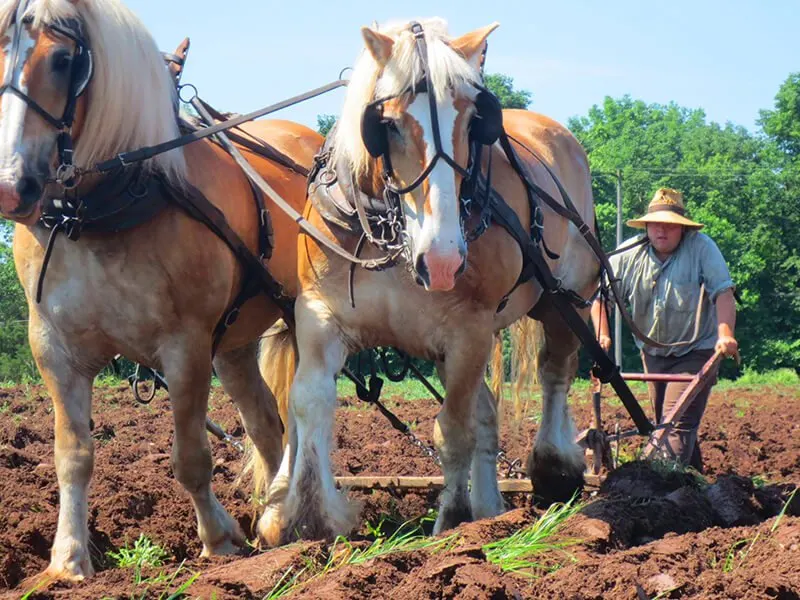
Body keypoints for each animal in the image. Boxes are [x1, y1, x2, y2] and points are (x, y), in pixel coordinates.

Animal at [0, 0, 318, 580]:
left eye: (63, 60)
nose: (12, 188)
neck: (94, 216)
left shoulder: (185, 344)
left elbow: (190, 457)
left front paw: (219, 540)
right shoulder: (53, 347)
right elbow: (72, 455)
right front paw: (67, 559)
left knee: (304, 415)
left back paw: (288, 512)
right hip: (236, 342)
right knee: (266, 422)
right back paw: (272, 518)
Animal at [260, 18, 604, 544]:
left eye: (473, 119)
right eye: (387, 124)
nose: (442, 261)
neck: (390, 240)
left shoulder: (468, 331)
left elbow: (454, 429)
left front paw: (455, 521)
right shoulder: (318, 314)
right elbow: (308, 403)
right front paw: (305, 520)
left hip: (567, 300)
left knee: (554, 372)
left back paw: (552, 468)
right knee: (489, 410)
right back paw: (492, 509)